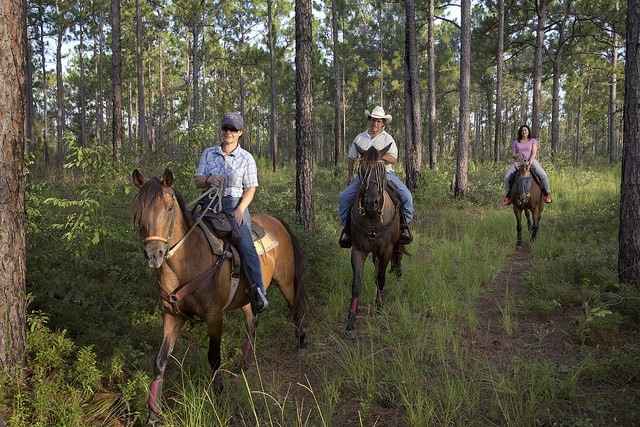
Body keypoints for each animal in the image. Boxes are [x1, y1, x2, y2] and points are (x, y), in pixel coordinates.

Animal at [131, 168, 306, 422]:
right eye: (139, 209)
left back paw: (302, 343)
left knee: (295, 309)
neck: (187, 261)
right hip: (246, 296)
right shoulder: (172, 315)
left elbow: (214, 356)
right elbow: (160, 360)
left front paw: (219, 395)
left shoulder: (214, 316)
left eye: (169, 207)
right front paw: (153, 412)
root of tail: (276, 220)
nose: (154, 254)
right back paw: (243, 366)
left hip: (286, 282)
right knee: (252, 321)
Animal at [344, 145, 404, 340]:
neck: (372, 218)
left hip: (398, 243)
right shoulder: (358, 250)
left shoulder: (386, 250)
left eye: (381, 170)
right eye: (362, 170)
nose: (372, 203)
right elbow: (356, 285)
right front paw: (351, 322)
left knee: (398, 258)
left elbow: (381, 278)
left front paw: (379, 310)